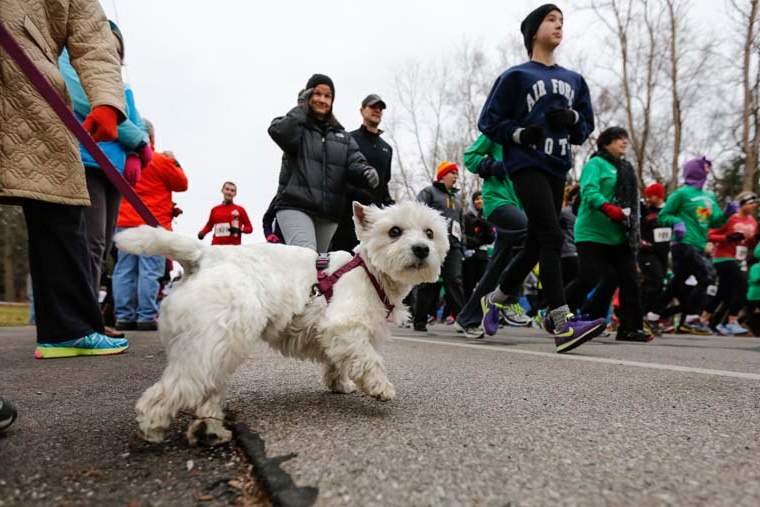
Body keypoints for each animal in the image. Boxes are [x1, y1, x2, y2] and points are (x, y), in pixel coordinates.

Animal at [116, 201, 448, 444]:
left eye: (430, 233)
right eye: (395, 231)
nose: (422, 249)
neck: (371, 271)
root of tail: (205, 256)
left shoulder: (339, 335)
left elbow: (338, 361)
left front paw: (339, 384)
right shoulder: (345, 326)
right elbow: (369, 359)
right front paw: (380, 387)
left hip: (217, 346)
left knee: (205, 389)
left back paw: (211, 429)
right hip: (212, 342)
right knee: (172, 388)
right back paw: (153, 428)